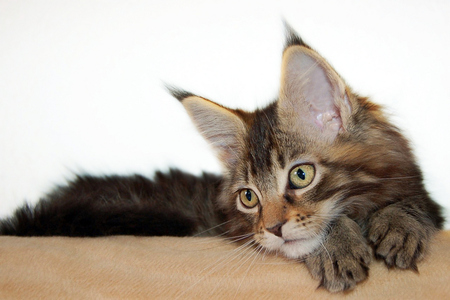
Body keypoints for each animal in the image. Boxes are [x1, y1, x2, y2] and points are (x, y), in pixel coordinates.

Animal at [0, 25, 442, 292]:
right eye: (249, 198)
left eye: (301, 175)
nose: (273, 228)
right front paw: (336, 246)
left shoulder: (424, 195)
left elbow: (412, 203)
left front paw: (399, 225)